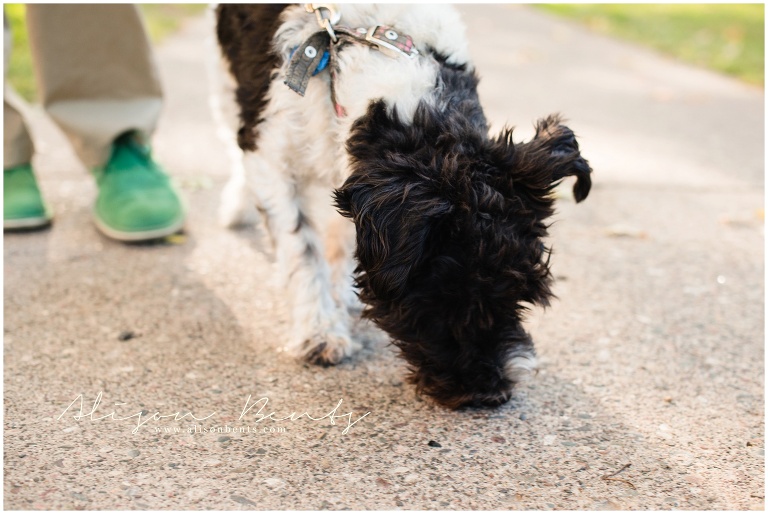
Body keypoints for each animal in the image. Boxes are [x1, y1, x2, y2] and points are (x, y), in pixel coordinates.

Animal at [214, 2, 592, 406]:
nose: (489, 392)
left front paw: (342, 292)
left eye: (520, 294)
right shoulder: (270, 151)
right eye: (445, 294)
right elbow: (301, 250)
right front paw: (319, 330)